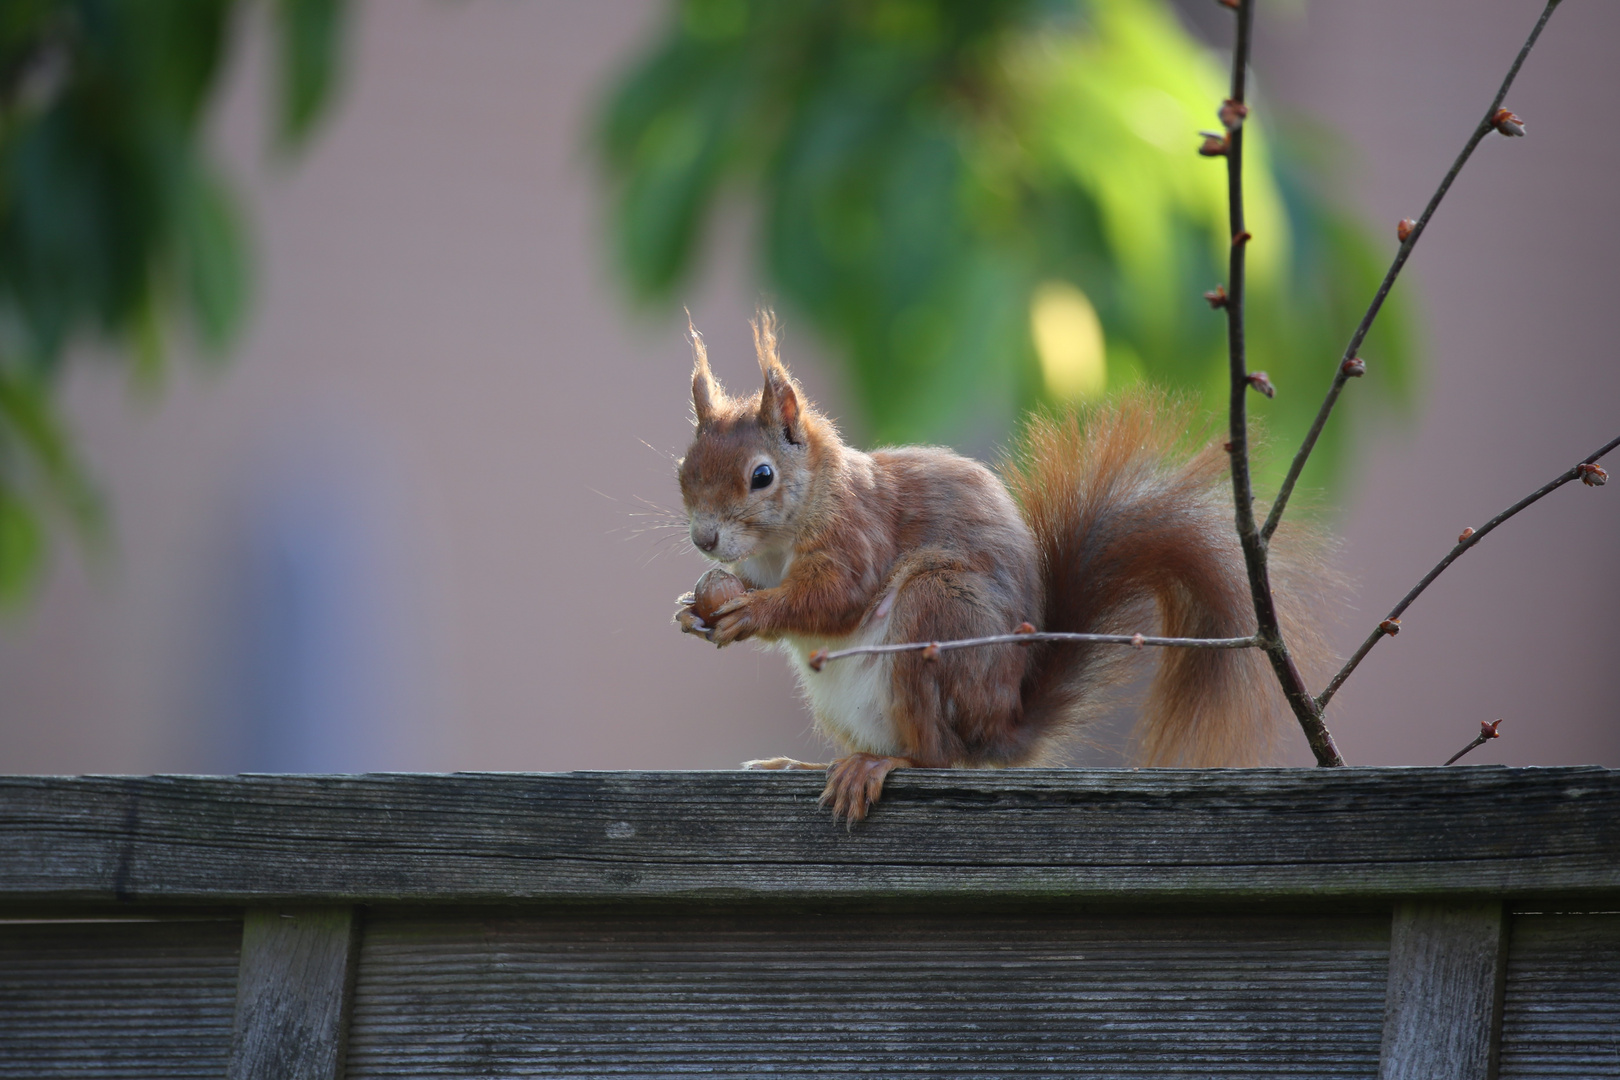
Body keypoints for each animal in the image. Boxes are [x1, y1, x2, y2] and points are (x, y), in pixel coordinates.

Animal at [670, 312, 1315, 819]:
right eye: (684, 470)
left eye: (762, 476)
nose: (705, 538)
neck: (781, 539)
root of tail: (1000, 726)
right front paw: (693, 611)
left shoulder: (858, 532)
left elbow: (835, 598)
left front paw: (750, 612)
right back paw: (804, 765)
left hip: (936, 612)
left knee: (936, 757)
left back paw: (877, 766)